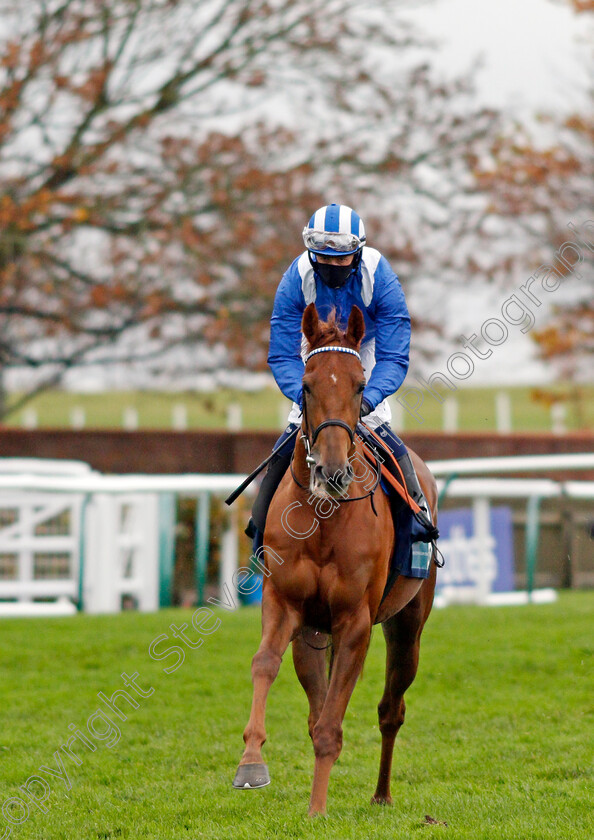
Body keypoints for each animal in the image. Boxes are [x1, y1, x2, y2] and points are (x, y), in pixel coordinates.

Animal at [234, 302, 438, 812]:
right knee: (317, 704)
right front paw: (251, 763)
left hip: (408, 625)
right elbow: (265, 665)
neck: (324, 520)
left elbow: (332, 724)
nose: (331, 471)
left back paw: (382, 795)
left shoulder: (355, 621)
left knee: (391, 709)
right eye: (306, 384)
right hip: (311, 633)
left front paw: (316, 811)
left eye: (361, 385)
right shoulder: (285, 605)